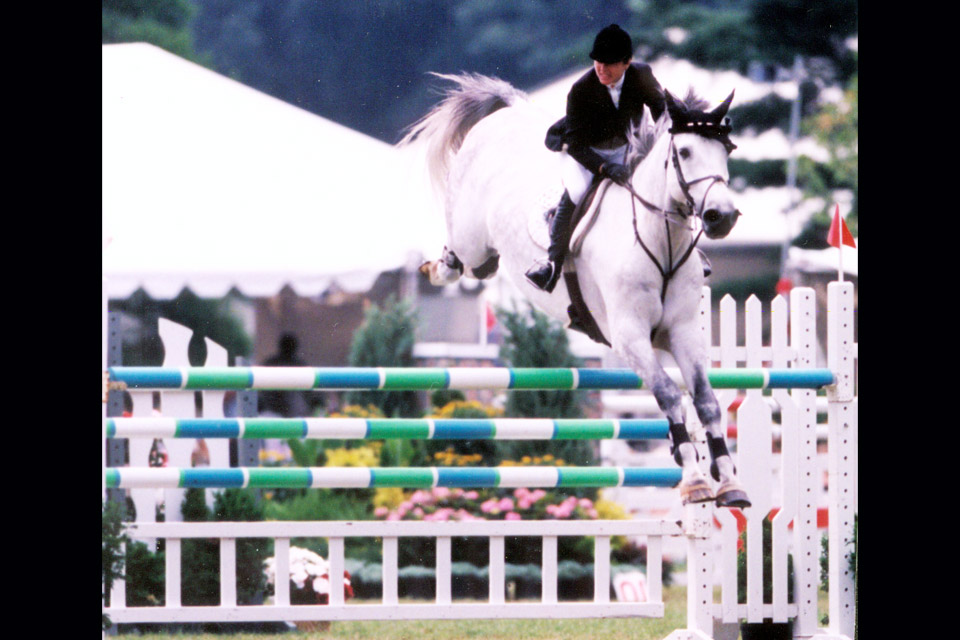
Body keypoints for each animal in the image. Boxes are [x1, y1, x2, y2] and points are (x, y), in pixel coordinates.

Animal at [404, 72, 752, 508]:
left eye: (726, 150)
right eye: (685, 152)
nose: (722, 217)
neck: (660, 242)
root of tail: (508, 111)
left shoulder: (684, 331)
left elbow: (705, 401)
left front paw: (730, 483)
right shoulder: (629, 337)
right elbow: (670, 395)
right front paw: (694, 480)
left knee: (484, 266)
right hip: (470, 237)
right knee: (461, 259)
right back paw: (436, 268)